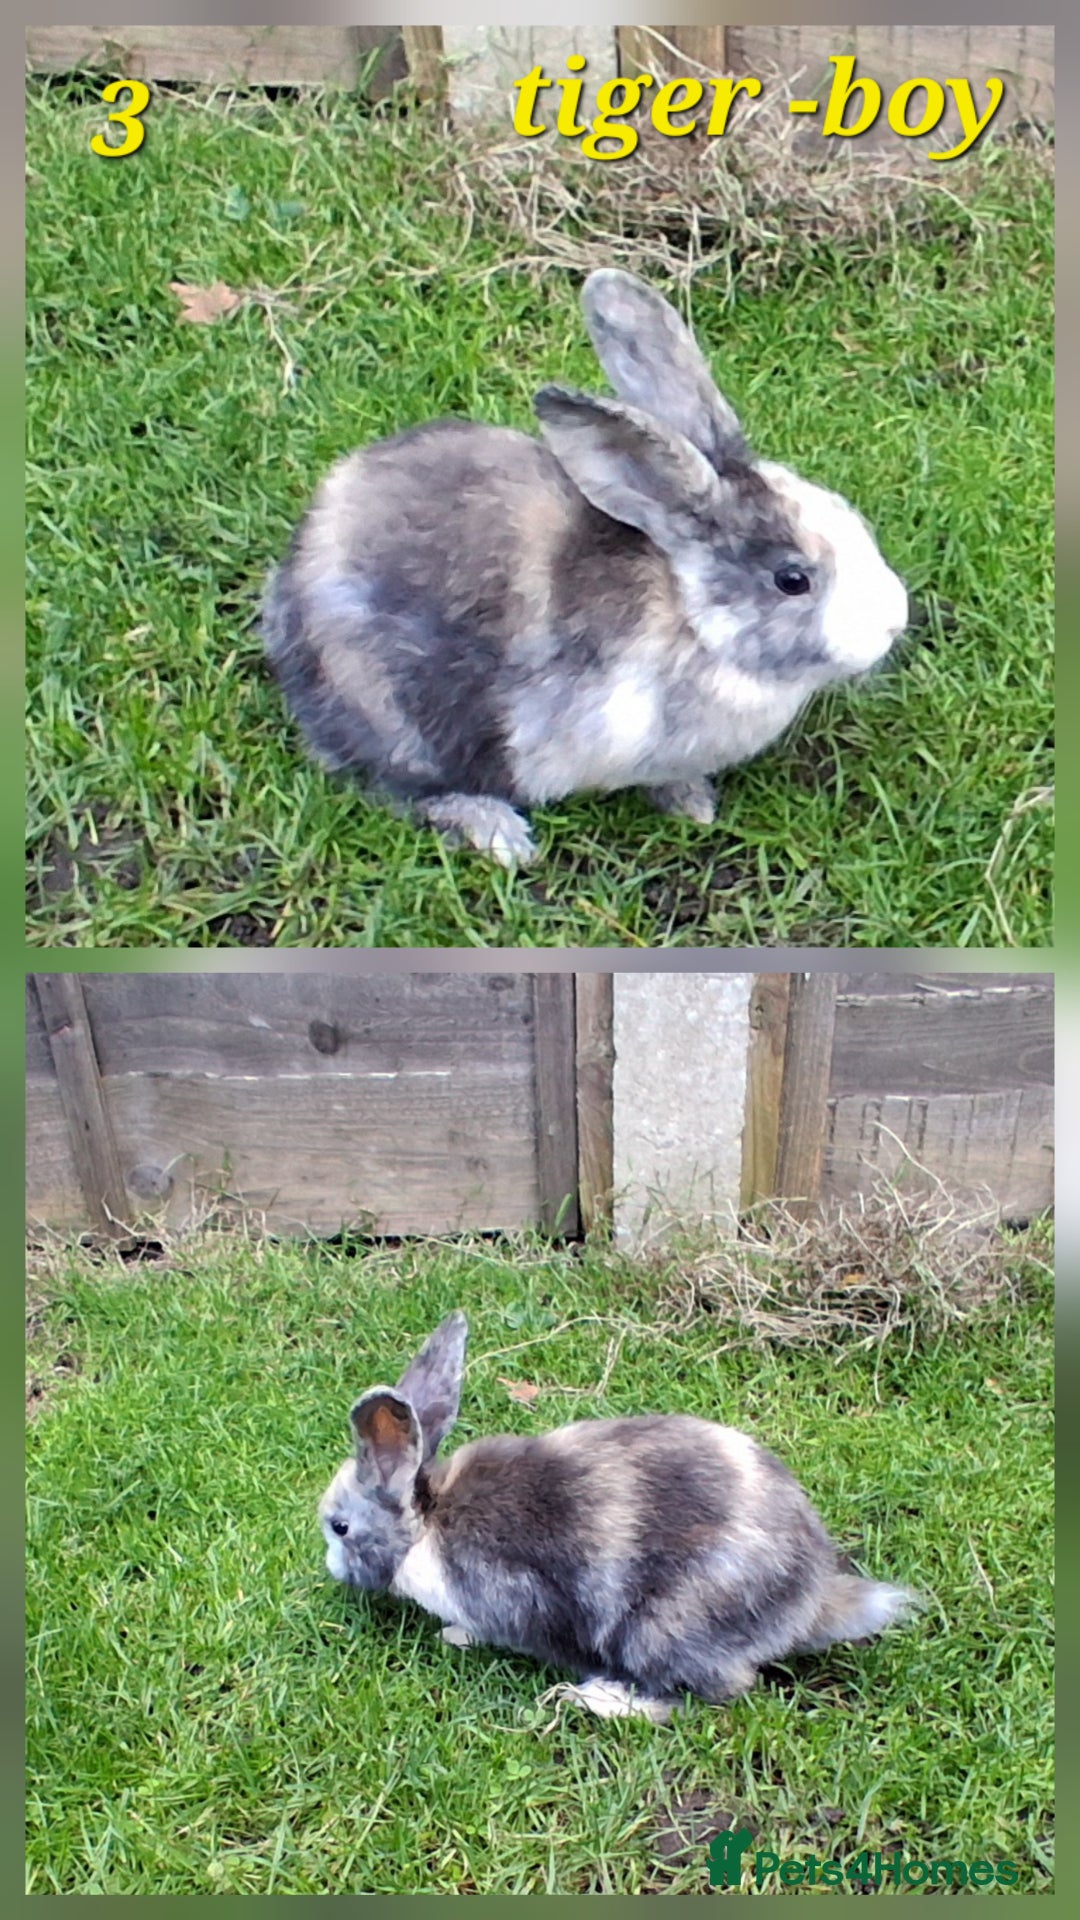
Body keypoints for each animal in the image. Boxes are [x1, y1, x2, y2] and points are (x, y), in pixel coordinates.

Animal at [264, 269, 908, 867]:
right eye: (792, 580)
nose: (894, 621)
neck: (692, 621)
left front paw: (693, 804)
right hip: (390, 714)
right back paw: (498, 834)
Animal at [318, 1312, 916, 1722]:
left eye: (339, 1527)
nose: (331, 1568)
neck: (427, 1524)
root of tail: (809, 1604)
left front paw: (455, 1636)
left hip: (662, 1631)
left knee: (707, 1696)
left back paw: (597, 1699)